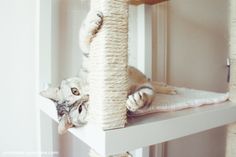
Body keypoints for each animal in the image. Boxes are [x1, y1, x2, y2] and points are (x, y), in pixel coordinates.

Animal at [40, 10, 176, 134]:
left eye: (75, 91)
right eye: (80, 109)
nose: (89, 95)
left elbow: (84, 44)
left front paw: (92, 21)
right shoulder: (142, 88)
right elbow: (148, 92)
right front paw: (136, 101)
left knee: (151, 80)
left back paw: (168, 87)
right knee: (151, 83)